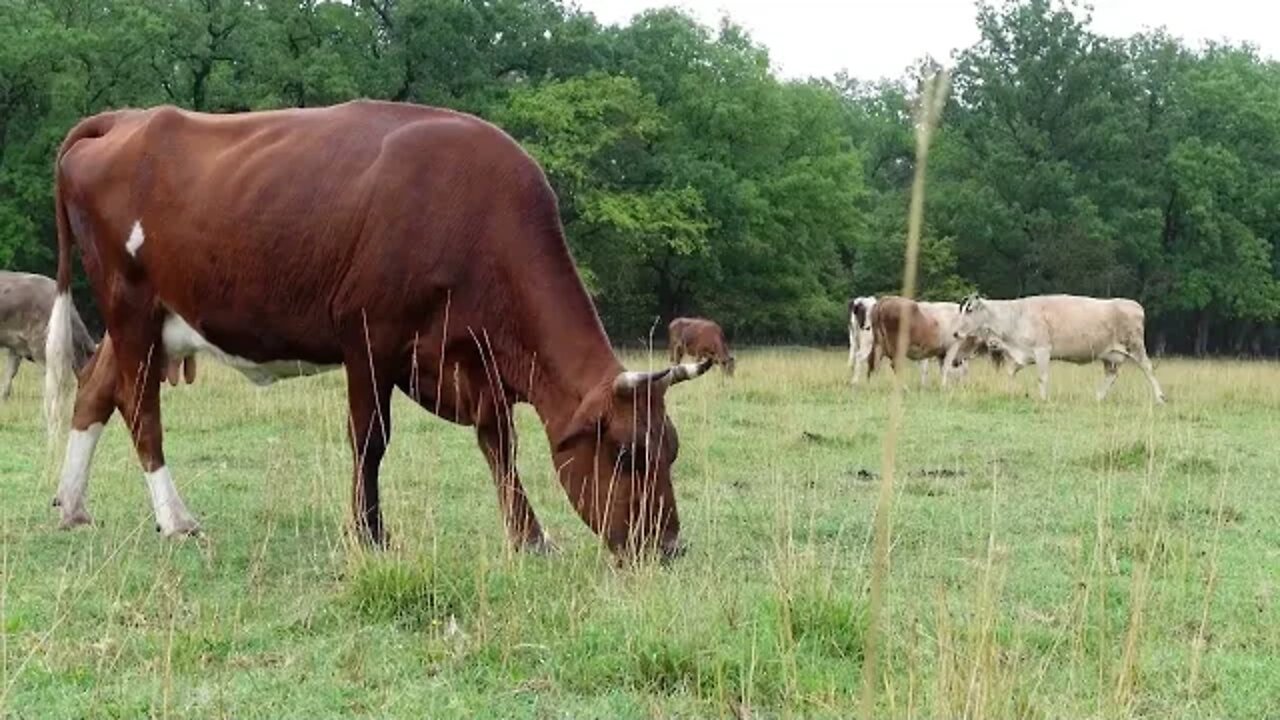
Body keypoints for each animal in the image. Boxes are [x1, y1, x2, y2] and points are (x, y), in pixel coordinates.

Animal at [45, 99, 716, 556]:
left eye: (672, 450)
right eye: (627, 453)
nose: (670, 545)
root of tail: (128, 118)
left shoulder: (474, 359)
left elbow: (500, 444)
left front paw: (529, 537)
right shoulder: (369, 337)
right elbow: (371, 440)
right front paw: (369, 533)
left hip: (144, 323)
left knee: (95, 390)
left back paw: (72, 506)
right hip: (129, 303)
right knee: (140, 408)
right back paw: (175, 518)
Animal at [952, 293, 1172, 404]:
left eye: (969, 311)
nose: (954, 333)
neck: (1015, 317)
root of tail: (1134, 305)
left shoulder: (1042, 350)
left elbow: (1042, 377)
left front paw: (1043, 399)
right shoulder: (1021, 354)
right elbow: (1010, 372)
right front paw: (1009, 391)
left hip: (1135, 347)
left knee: (1148, 369)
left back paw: (1160, 398)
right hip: (1109, 355)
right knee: (1111, 375)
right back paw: (1098, 397)